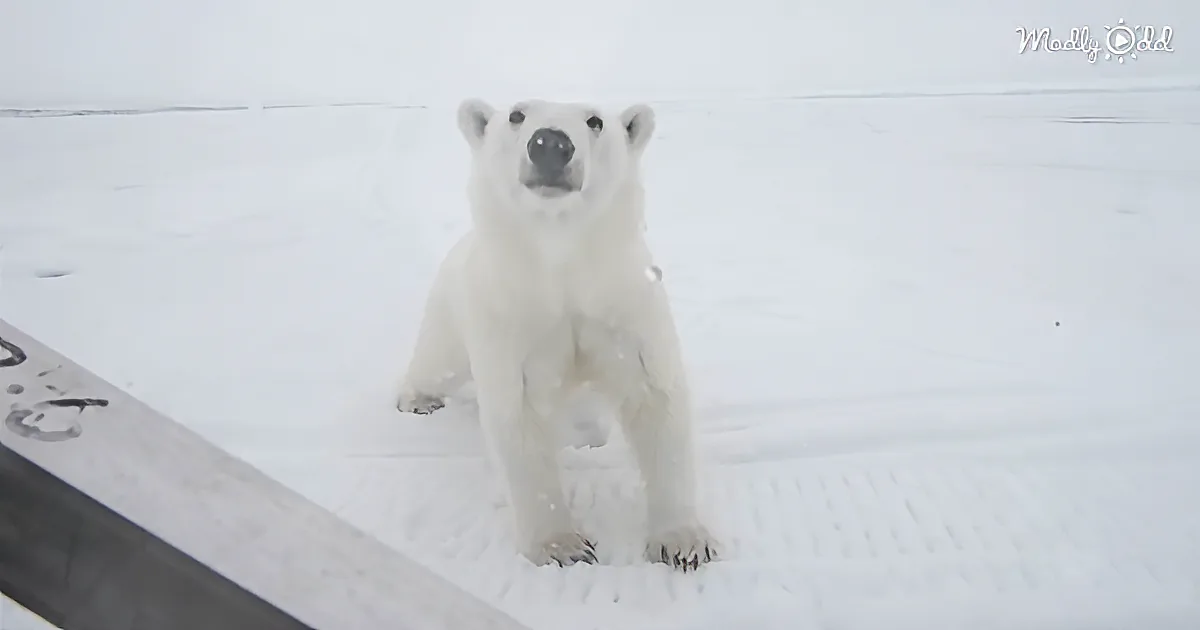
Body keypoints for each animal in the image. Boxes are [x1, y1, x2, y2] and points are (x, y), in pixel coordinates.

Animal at [395, 98, 719, 572]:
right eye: (516, 115)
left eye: (595, 120)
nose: (550, 144)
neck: (560, 259)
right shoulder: (509, 317)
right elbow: (518, 417)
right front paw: (561, 546)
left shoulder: (622, 302)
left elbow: (656, 399)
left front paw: (683, 542)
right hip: (453, 308)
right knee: (438, 360)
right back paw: (417, 399)